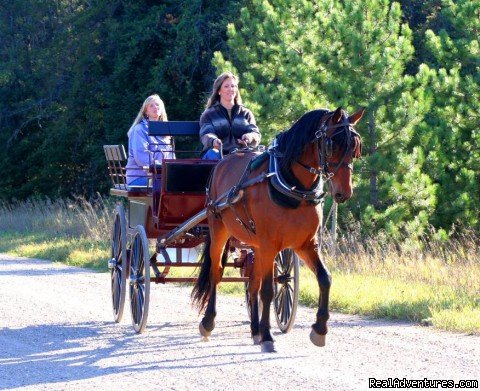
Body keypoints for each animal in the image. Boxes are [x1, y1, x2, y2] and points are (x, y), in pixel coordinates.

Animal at [191, 106, 364, 352]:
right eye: (333, 145)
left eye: (356, 148)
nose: (344, 192)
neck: (291, 185)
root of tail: (224, 160)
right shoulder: (269, 245)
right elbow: (268, 291)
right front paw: (267, 336)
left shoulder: (305, 245)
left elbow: (325, 278)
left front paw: (319, 330)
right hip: (219, 230)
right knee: (217, 273)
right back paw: (208, 323)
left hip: (254, 245)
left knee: (252, 283)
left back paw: (254, 329)